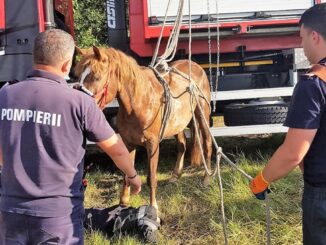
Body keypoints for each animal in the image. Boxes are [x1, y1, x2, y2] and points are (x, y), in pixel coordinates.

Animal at [74, 46, 213, 209]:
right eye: (78, 75)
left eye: (96, 76)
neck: (139, 103)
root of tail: (196, 66)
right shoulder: (128, 143)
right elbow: (127, 174)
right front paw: (123, 202)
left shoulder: (152, 145)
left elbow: (151, 178)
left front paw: (153, 207)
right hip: (177, 125)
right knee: (182, 145)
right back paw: (175, 176)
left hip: (202, 115)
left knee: (207, 142)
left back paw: (207, 178)